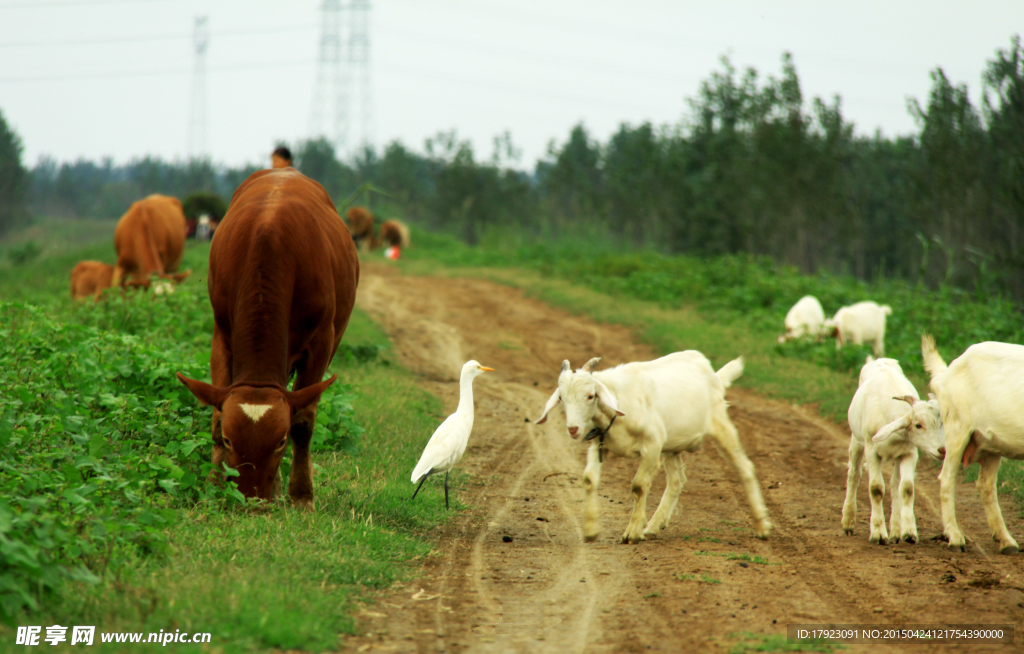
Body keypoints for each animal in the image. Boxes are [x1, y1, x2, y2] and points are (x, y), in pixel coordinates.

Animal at [178, 167, 362, 507]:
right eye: (229, 440)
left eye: (280, 441)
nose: (251, 497)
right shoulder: (222, 335)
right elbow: (215, 417)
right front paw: (214, 486)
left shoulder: (321, 344)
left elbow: (302, 423)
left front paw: (301, 494)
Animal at [536, 356, 770, 544]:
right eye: (561, 398)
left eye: (591, 396)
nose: (573, 429)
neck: (620, 402)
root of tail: (713, 374)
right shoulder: (599, 444)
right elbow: (589, 480)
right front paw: (591, 530)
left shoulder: (652, 446)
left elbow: (639, 486)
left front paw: (632, 533)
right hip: (672, 445)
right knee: (677, 479)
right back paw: (654, 525)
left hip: (719, 422)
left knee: (744, 467)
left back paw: (762, 526)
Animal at [839, 356, 942, 544]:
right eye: (918, 425)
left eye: (941, 423)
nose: (942, 450)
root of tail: (880, 360)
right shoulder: (871, 451)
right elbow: (876, 488)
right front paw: (878, 533)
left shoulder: (909, 453)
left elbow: (907, 488)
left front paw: (909, 532)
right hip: (857, 440)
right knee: (854, 474)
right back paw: (848, 521)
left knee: (895, 484)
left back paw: (895, 531)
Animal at [921, 335, 1024, 556]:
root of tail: (946, 374)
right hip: (957, 428)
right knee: (947, 479)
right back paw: (955, 538)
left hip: (991, 444)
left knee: (986, 485)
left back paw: (1006, 542)